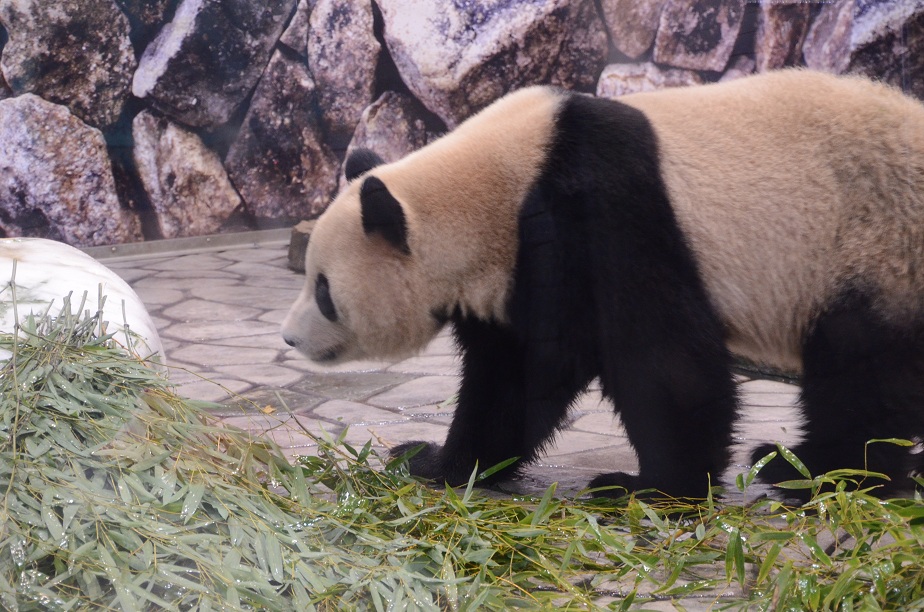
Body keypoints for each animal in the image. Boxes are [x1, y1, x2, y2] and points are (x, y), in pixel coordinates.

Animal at [282, 71, 924, 500]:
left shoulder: (603, 211)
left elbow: (664, 362)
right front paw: (434, 459)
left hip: (871, 246)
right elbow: (512, 377)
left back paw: (814, 470)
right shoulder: (519, 275)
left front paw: (651, 486)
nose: (289, 339)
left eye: (323, 290)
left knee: (859, 366)